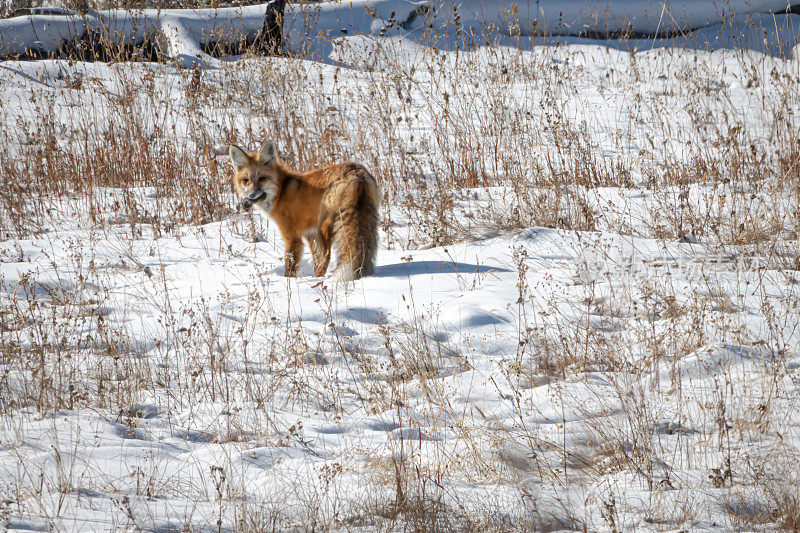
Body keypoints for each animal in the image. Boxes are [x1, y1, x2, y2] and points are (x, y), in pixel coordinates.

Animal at [230, 143, 380, 280]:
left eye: (262, 178)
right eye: (245, 180)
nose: (251, 196)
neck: (281, 191)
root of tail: (356, 171)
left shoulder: (292, 237)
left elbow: (290, 267)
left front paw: (289, 282)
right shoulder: (310, 234)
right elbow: (315, 258)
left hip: (323, 225)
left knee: (327, 255)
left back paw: (317, 279)